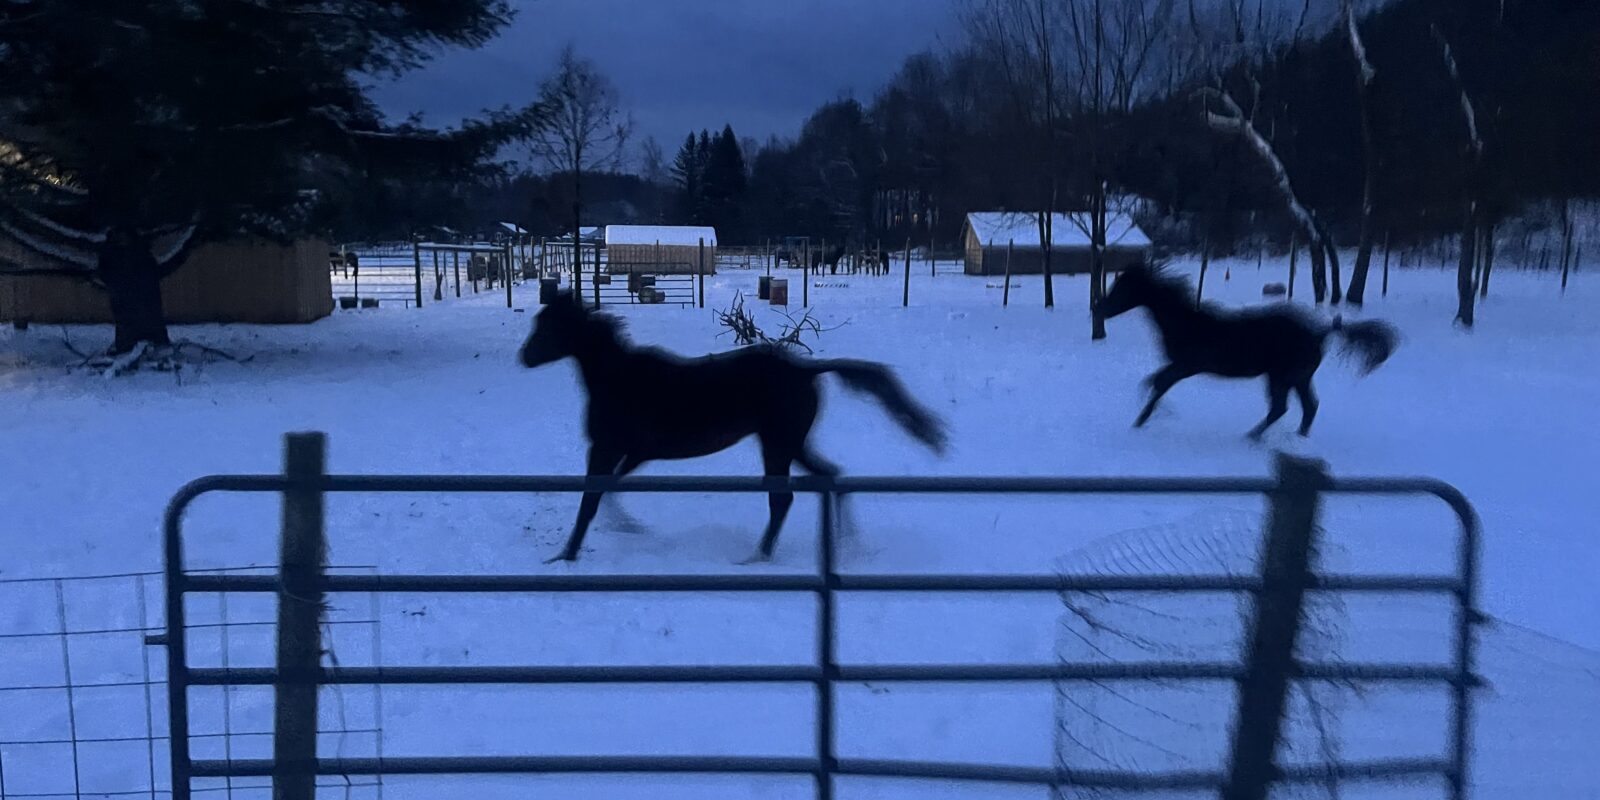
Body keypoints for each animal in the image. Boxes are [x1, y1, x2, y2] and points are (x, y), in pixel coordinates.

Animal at [519, 291, 948, 562]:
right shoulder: (635, 453)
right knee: (830, 475)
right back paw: (845, 543)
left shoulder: (606, 448)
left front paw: (566, 555)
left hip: (778, 445)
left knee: (783, 499)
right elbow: (610, 492)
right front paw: (629, 528)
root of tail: (806, 370)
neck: (618, 379)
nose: (524, 357)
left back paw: (757, 557)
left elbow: (591, 501)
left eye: (549, 328)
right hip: (790, 443)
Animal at [1096, 264, 1399, 439]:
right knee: (1308, 407)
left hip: (1280, 377)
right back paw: (1296, 438)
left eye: (1123, 289)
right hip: (1299, 378)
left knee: (1280, 408)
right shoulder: (1180, 366)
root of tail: (1321, 332)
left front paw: (1144, 419)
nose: (1100, 309)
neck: (1186, 324)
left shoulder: (1187, 366)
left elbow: (1158, 383)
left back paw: (1250, 438)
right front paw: (1151, 415)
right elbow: (1153, 381)